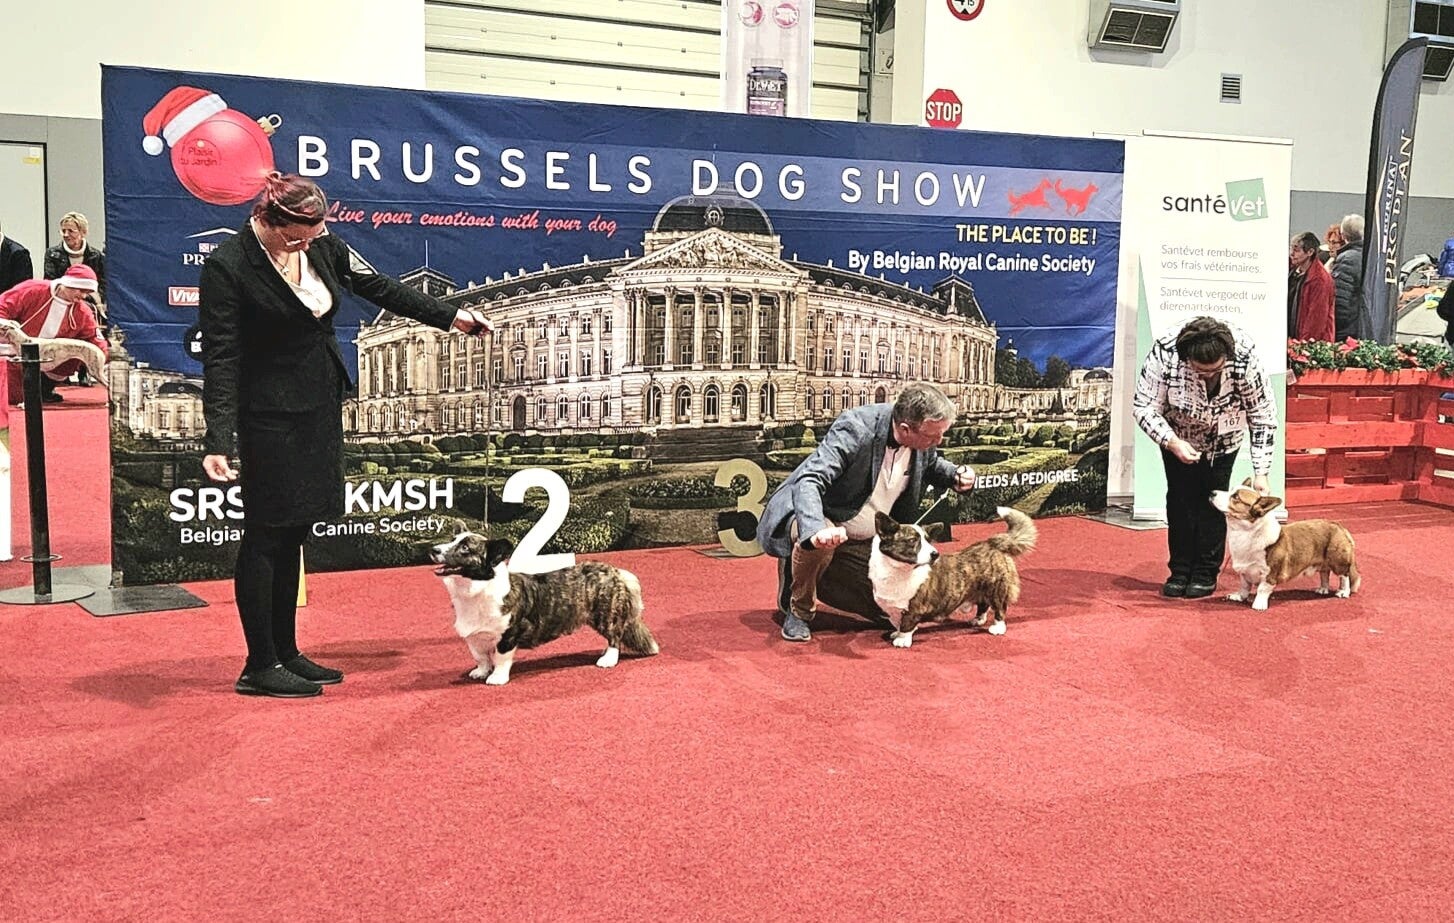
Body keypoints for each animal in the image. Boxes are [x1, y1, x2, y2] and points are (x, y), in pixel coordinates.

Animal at [429, 530, 658, 685]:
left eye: (465, 548)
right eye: (452, 540)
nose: (433, 549)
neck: (476, 589)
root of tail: (617, 571)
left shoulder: (508, 635)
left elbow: (500, 658)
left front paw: (496, 678)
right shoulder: (474, 638)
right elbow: (481, 658)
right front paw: (481, 672)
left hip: (606, 615)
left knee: (614, 637)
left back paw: (607, 660)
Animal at [868, 507, 1037, 648]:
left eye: (928, 540)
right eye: (912, 540)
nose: (935, 554)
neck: (898, 570)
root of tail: (994, 544)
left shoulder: (914, 609)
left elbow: (906, 625)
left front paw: (902, 640)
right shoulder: (893, 610)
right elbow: (897, 622)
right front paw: (896, 633)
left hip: (996, 588)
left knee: (999, 608)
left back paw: (997, 628)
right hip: (980, 588)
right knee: (983, 604)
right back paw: (977, 620)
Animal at [1210, 482, 1360, 611]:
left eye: (1236, 497)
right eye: (1230, 489)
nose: (1212, 492)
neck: (1246, 532)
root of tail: (1339, 526)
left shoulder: (1270, 573)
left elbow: (1262, 589)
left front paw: (1259, 604)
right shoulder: (1244, 572)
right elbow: (1244, 586)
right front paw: (1239, 597)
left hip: (1338, 561)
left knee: (1344, 576)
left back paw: (1343, 592)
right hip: (1323, 561)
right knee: (1324, 572)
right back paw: (1323, 589)